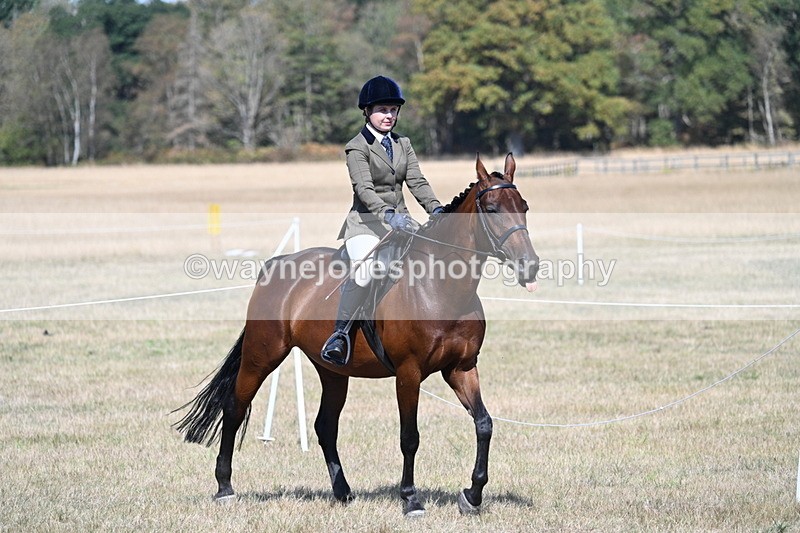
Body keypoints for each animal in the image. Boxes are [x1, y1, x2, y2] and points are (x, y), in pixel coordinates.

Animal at [173, 153, 540, 517]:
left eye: (524, 206)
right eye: (491, 209)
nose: (530, 266)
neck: (442, 287)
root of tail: (276, 264)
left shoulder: (460, 368)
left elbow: (484, 423)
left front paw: (472, 495)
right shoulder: (408, 373)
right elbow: (410, 436)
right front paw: (411, 499)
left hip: (332, 370)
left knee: (325, 425)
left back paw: (342, 491)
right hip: (261, 355)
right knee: (234, 407)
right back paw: (225, 487)